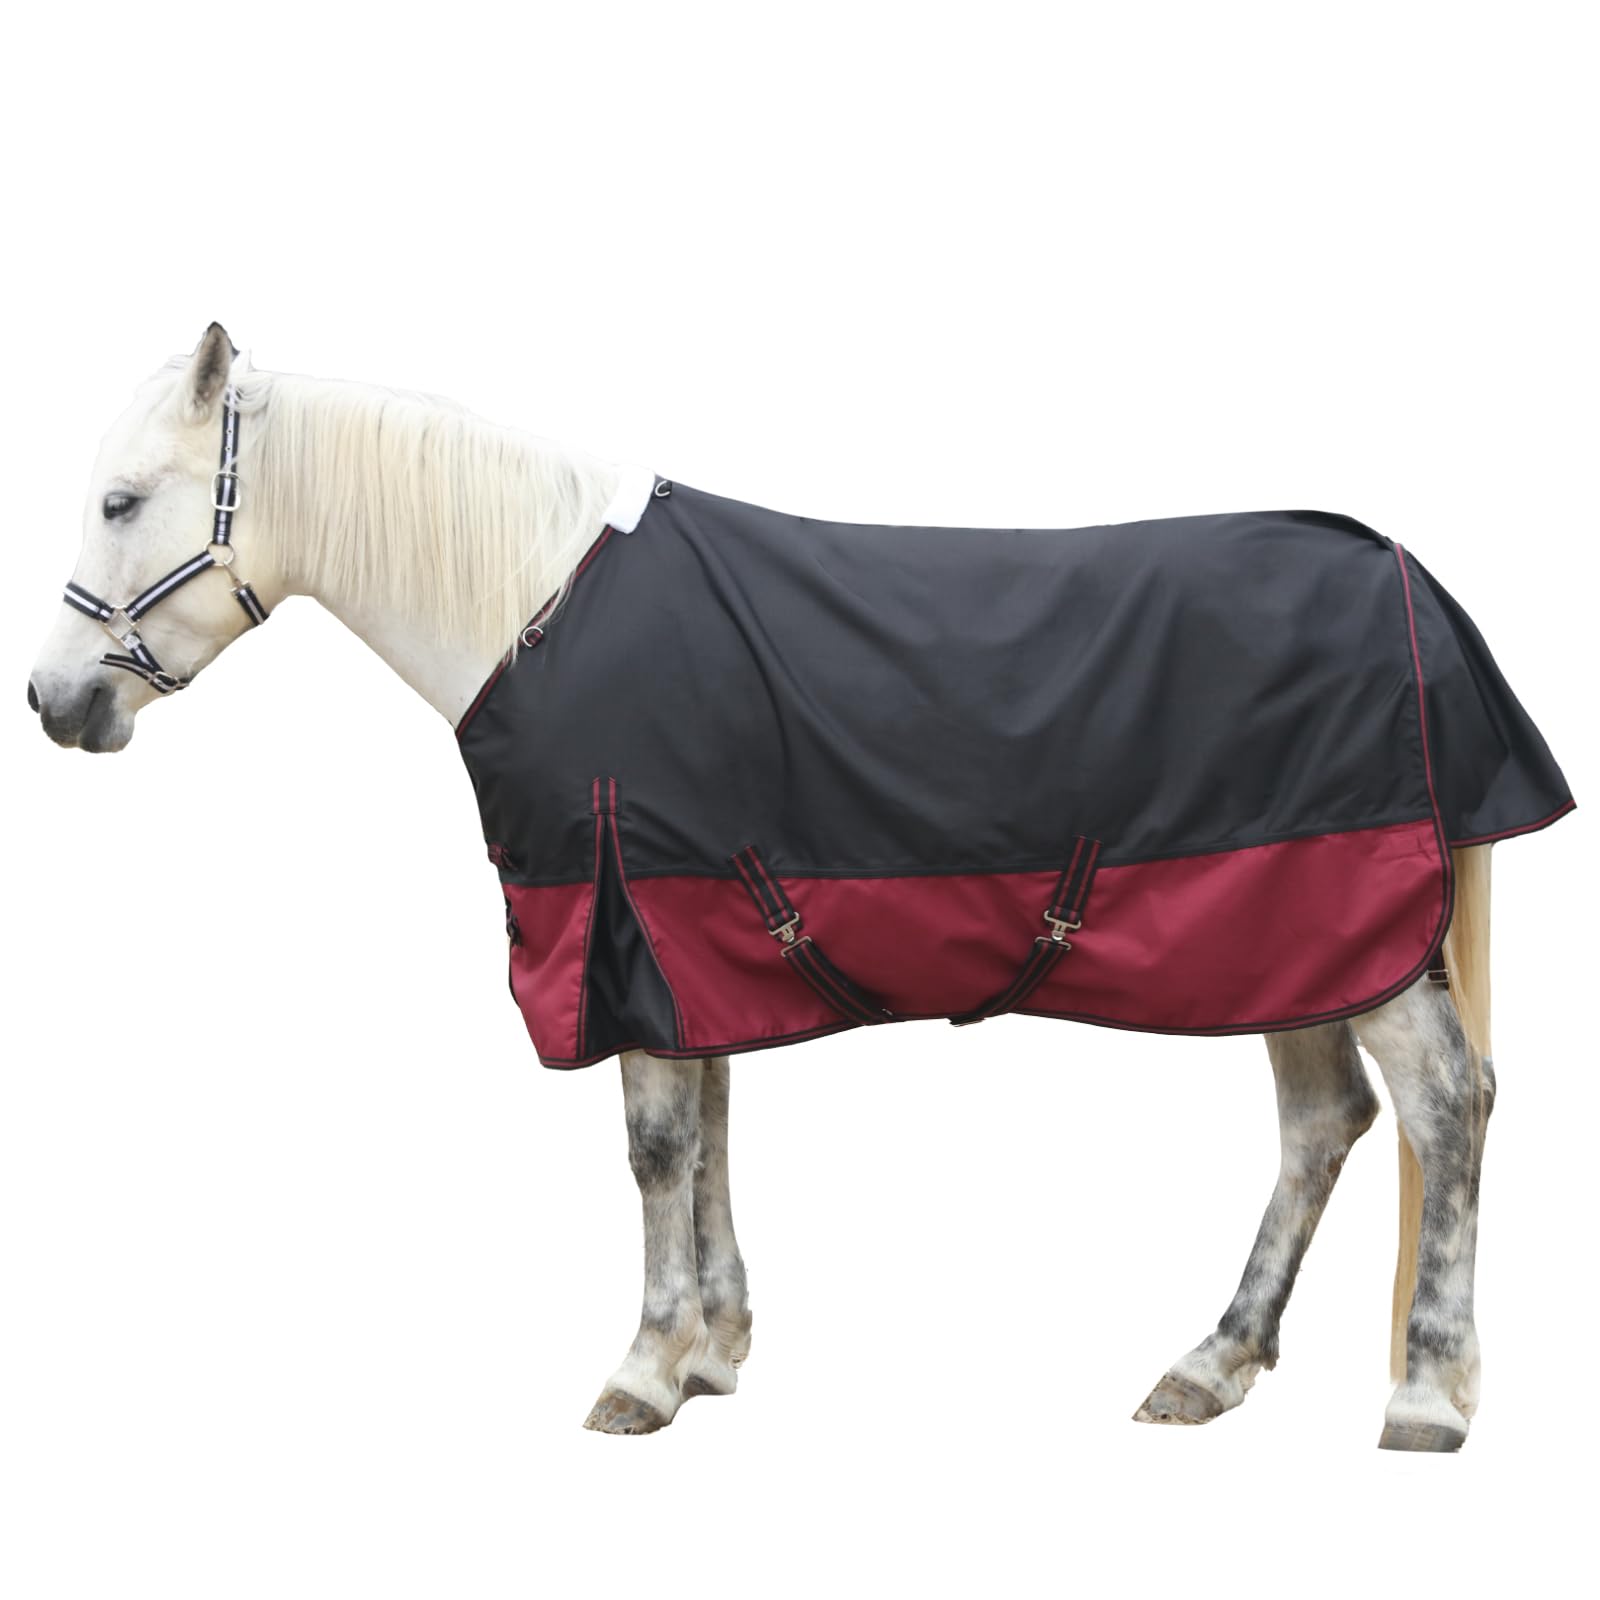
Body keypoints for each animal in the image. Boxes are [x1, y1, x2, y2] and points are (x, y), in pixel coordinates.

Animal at [28, 324, 1572, 1451]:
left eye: (120, 501)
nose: (52, 703)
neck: (536, 613)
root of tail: (1413, 590)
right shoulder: (679, 938)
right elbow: (707, 1137)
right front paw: (714, 1351)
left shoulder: (622, 923)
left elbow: (657, 1149)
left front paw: (643, 1373)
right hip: (1301, 944)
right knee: (1326, 1126)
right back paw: (1213, 1363)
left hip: (1353, 940)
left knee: (1447, 1105)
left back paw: (1425, 1394)